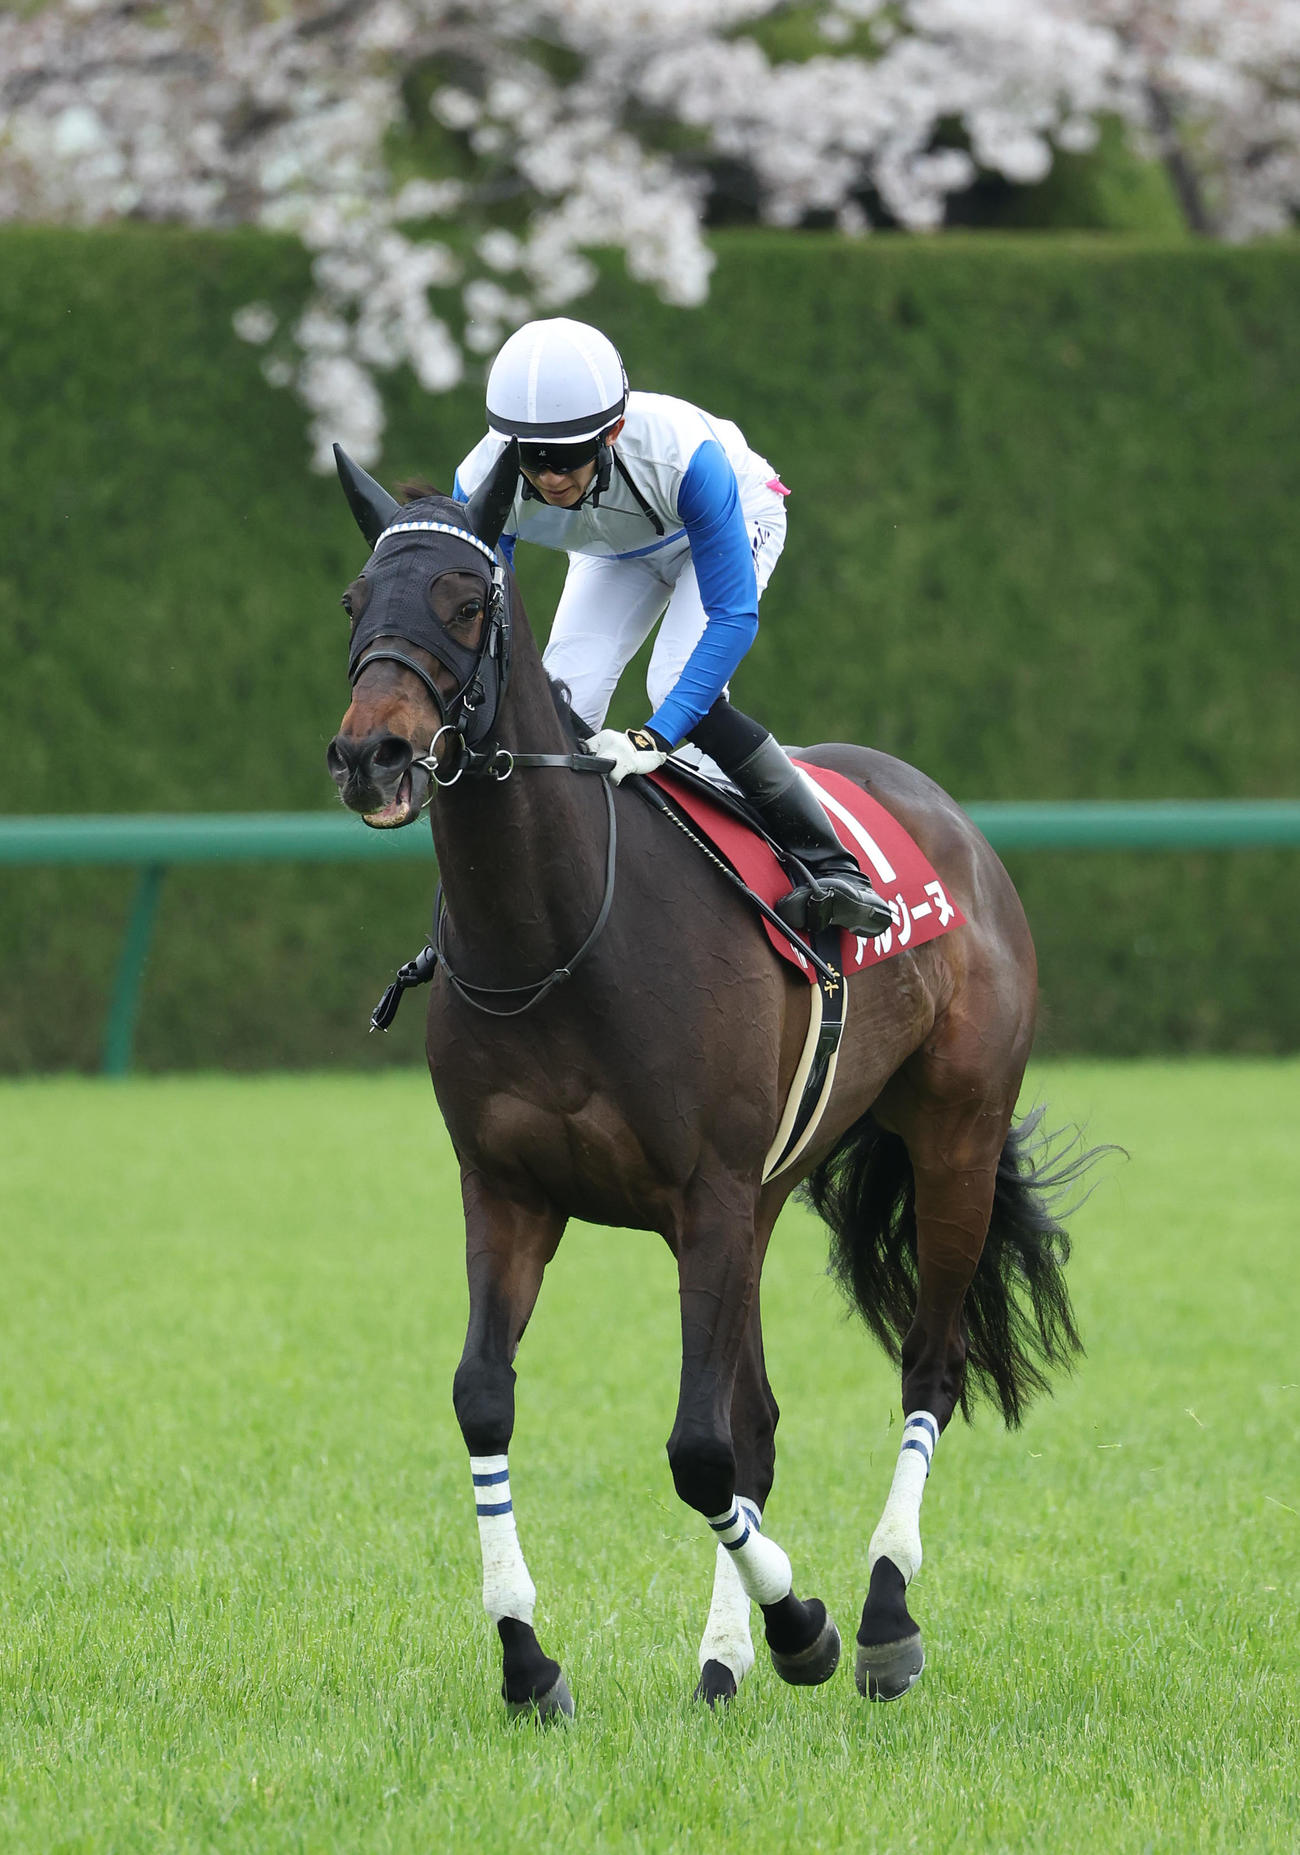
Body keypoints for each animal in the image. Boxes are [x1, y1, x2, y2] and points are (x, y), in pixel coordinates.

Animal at [324, 440, 1091, 1720]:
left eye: (468, 602)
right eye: (351, 602)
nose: (371, 754)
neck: (556, 931)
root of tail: (947, 820)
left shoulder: (708, 1194)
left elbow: (696, 1449)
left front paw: (806, 1629)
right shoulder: (512, 1193)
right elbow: (489, 1398)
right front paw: (529, 1659)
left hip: (954, 1136)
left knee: (927, 1367)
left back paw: (881, 1618)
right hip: (772, 1195)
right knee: (762, 1418)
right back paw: (723, 1661)